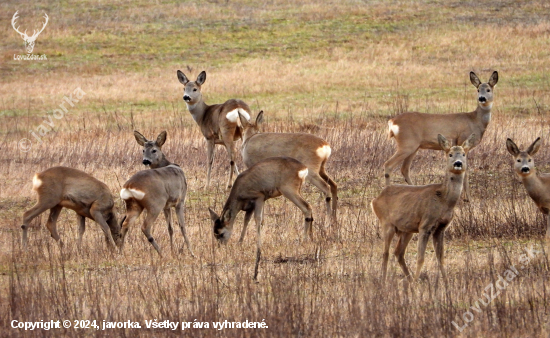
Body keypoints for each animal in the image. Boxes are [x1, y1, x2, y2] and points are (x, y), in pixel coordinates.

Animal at [376, 133, 478, 282]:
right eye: (450, 154)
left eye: (464, 154)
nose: (458, 163)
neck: (444, 200)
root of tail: (375, 199)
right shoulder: (425, 225)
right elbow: (420, 258)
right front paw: (416, 283)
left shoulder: (441, 228)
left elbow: (441, 258)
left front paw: (446, 282)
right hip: (387, 223)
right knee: (385, 253)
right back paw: (384, 281)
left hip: (407, 229)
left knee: (398, 252)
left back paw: (408, 279)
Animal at [386, 69, 498, 201]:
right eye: (478, 89)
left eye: (488, 90)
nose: (482, 98)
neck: (475, 120)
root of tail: (392, 121)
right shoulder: (463, 140)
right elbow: (466, 170)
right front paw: (467, 198)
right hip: (407, 143)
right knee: (388, 165)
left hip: (414, 147)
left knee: (404, 169)